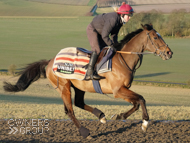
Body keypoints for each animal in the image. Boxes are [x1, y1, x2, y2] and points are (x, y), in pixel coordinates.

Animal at [3, 23, 172, 139]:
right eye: (155, 37)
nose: (169, 53)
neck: (123, 59)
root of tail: (50, 61)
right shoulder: (118, 91)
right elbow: (141, 99)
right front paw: (144, 123)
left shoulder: (124, 90)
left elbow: (137, 103)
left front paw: (120, 116)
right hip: (64, 87)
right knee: (70, 110)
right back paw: (85, 132)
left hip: (79, 87)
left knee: (78, 102)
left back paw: (101, 115)